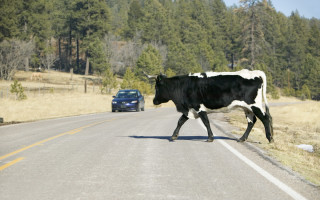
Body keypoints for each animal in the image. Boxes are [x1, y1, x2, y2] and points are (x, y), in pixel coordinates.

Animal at [146, 69, 274, 143]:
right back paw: (242, 138)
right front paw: (173, 136)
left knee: (265, 118)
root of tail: (254, 72)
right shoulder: (190, 109)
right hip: (247, 108)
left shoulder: (198, 107)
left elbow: (206, 122)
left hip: (254, 105)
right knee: (252, 121)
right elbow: (180, 121)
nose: (154, 101)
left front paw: (210, 138)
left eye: (157, 87)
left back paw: (270, 138)